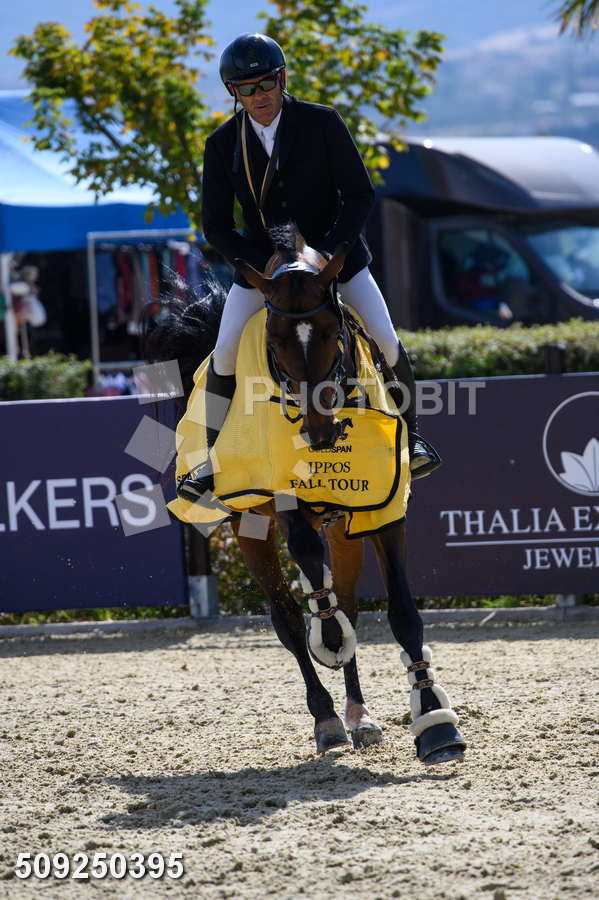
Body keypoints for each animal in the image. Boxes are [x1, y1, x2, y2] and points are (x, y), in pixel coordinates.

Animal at [147, 224, 466, 765]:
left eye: (333, 334)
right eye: (274, 342)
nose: (319, 432)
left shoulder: (383, 510)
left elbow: (402, 611)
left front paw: (434, 723)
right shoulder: (285, 502)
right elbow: (309, 573)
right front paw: (329, 635)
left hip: (343, 528)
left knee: (348, 599)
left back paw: (359, 715)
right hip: (248, 527)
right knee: (288, 619)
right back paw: (328, 718)